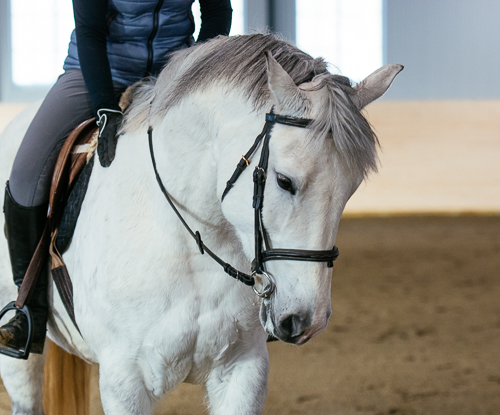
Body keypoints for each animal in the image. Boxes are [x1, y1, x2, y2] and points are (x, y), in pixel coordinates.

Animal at [0, 35, 398, 415]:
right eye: (284, 181)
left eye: (351, 190)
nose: (307, 320)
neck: (192, 244)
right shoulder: (123, 381)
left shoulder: (243, 370)